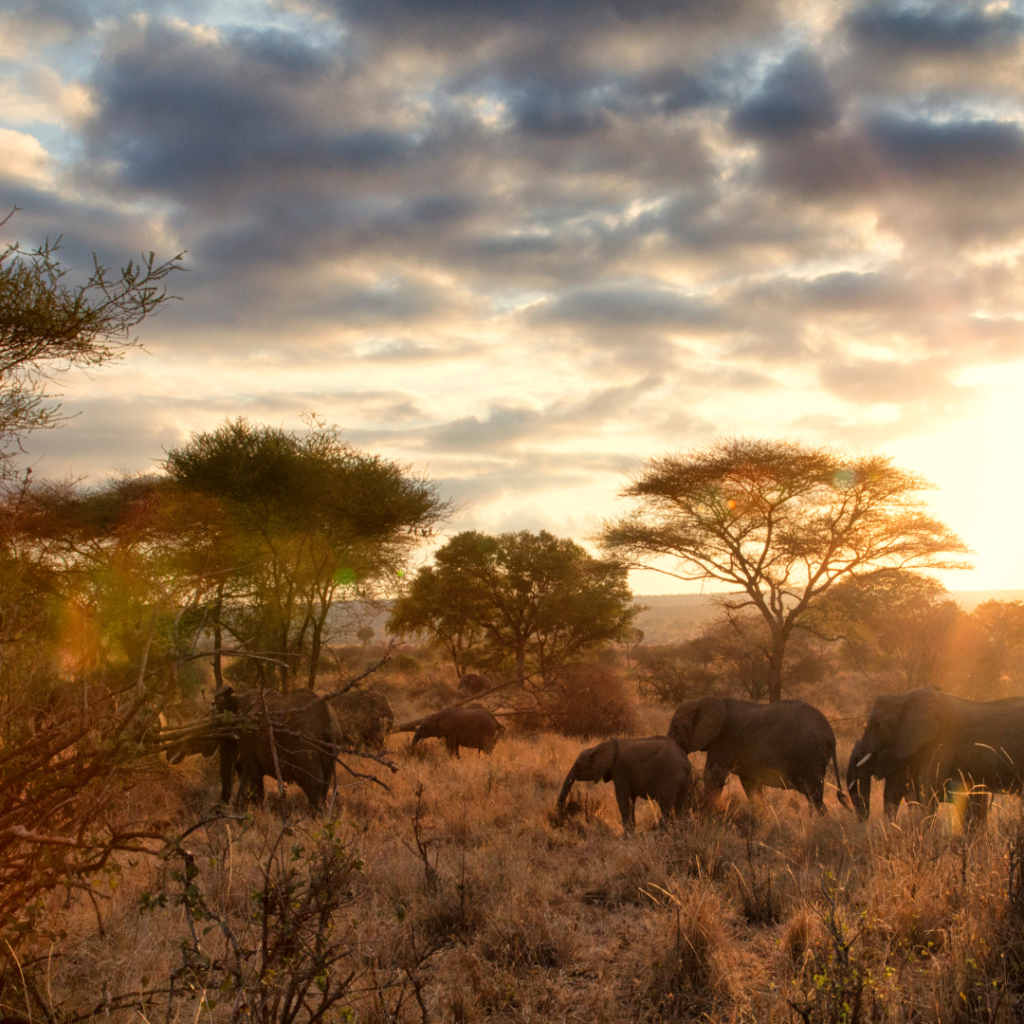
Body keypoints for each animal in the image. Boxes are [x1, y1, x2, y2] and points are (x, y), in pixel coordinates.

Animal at [557, 737, 692, 831]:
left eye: (578, 766)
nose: (562, 819)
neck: (604, 745)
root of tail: (685, 763)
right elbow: (630, 799)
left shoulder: (620, 769)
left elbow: (623, 798)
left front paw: (627, 838)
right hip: (683, 781)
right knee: (680, 807)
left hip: (670, 777)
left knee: (665, 807)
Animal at [667, 692, 843, 811]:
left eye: (676, 728)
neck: (702, 701)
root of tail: (831, 735)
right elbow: (749, 783)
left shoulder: (723, 740)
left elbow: (713, 777)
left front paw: (701, 811)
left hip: (809, 755)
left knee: (814, 796)